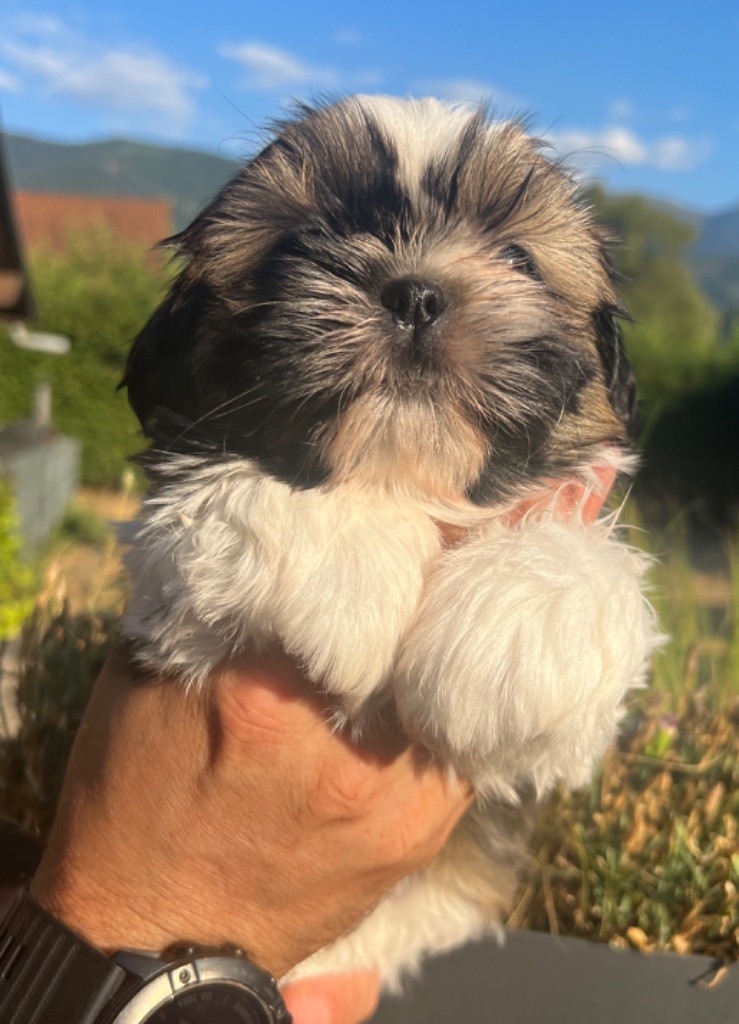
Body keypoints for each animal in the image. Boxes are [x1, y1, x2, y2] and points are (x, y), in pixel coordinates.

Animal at [121, 95, 660, 988]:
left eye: (516, 256)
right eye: (300, 242)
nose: (415, 292)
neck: (403, 476)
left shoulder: (531, 764)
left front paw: (519, 621)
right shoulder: (167, 608)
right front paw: (343, 566)